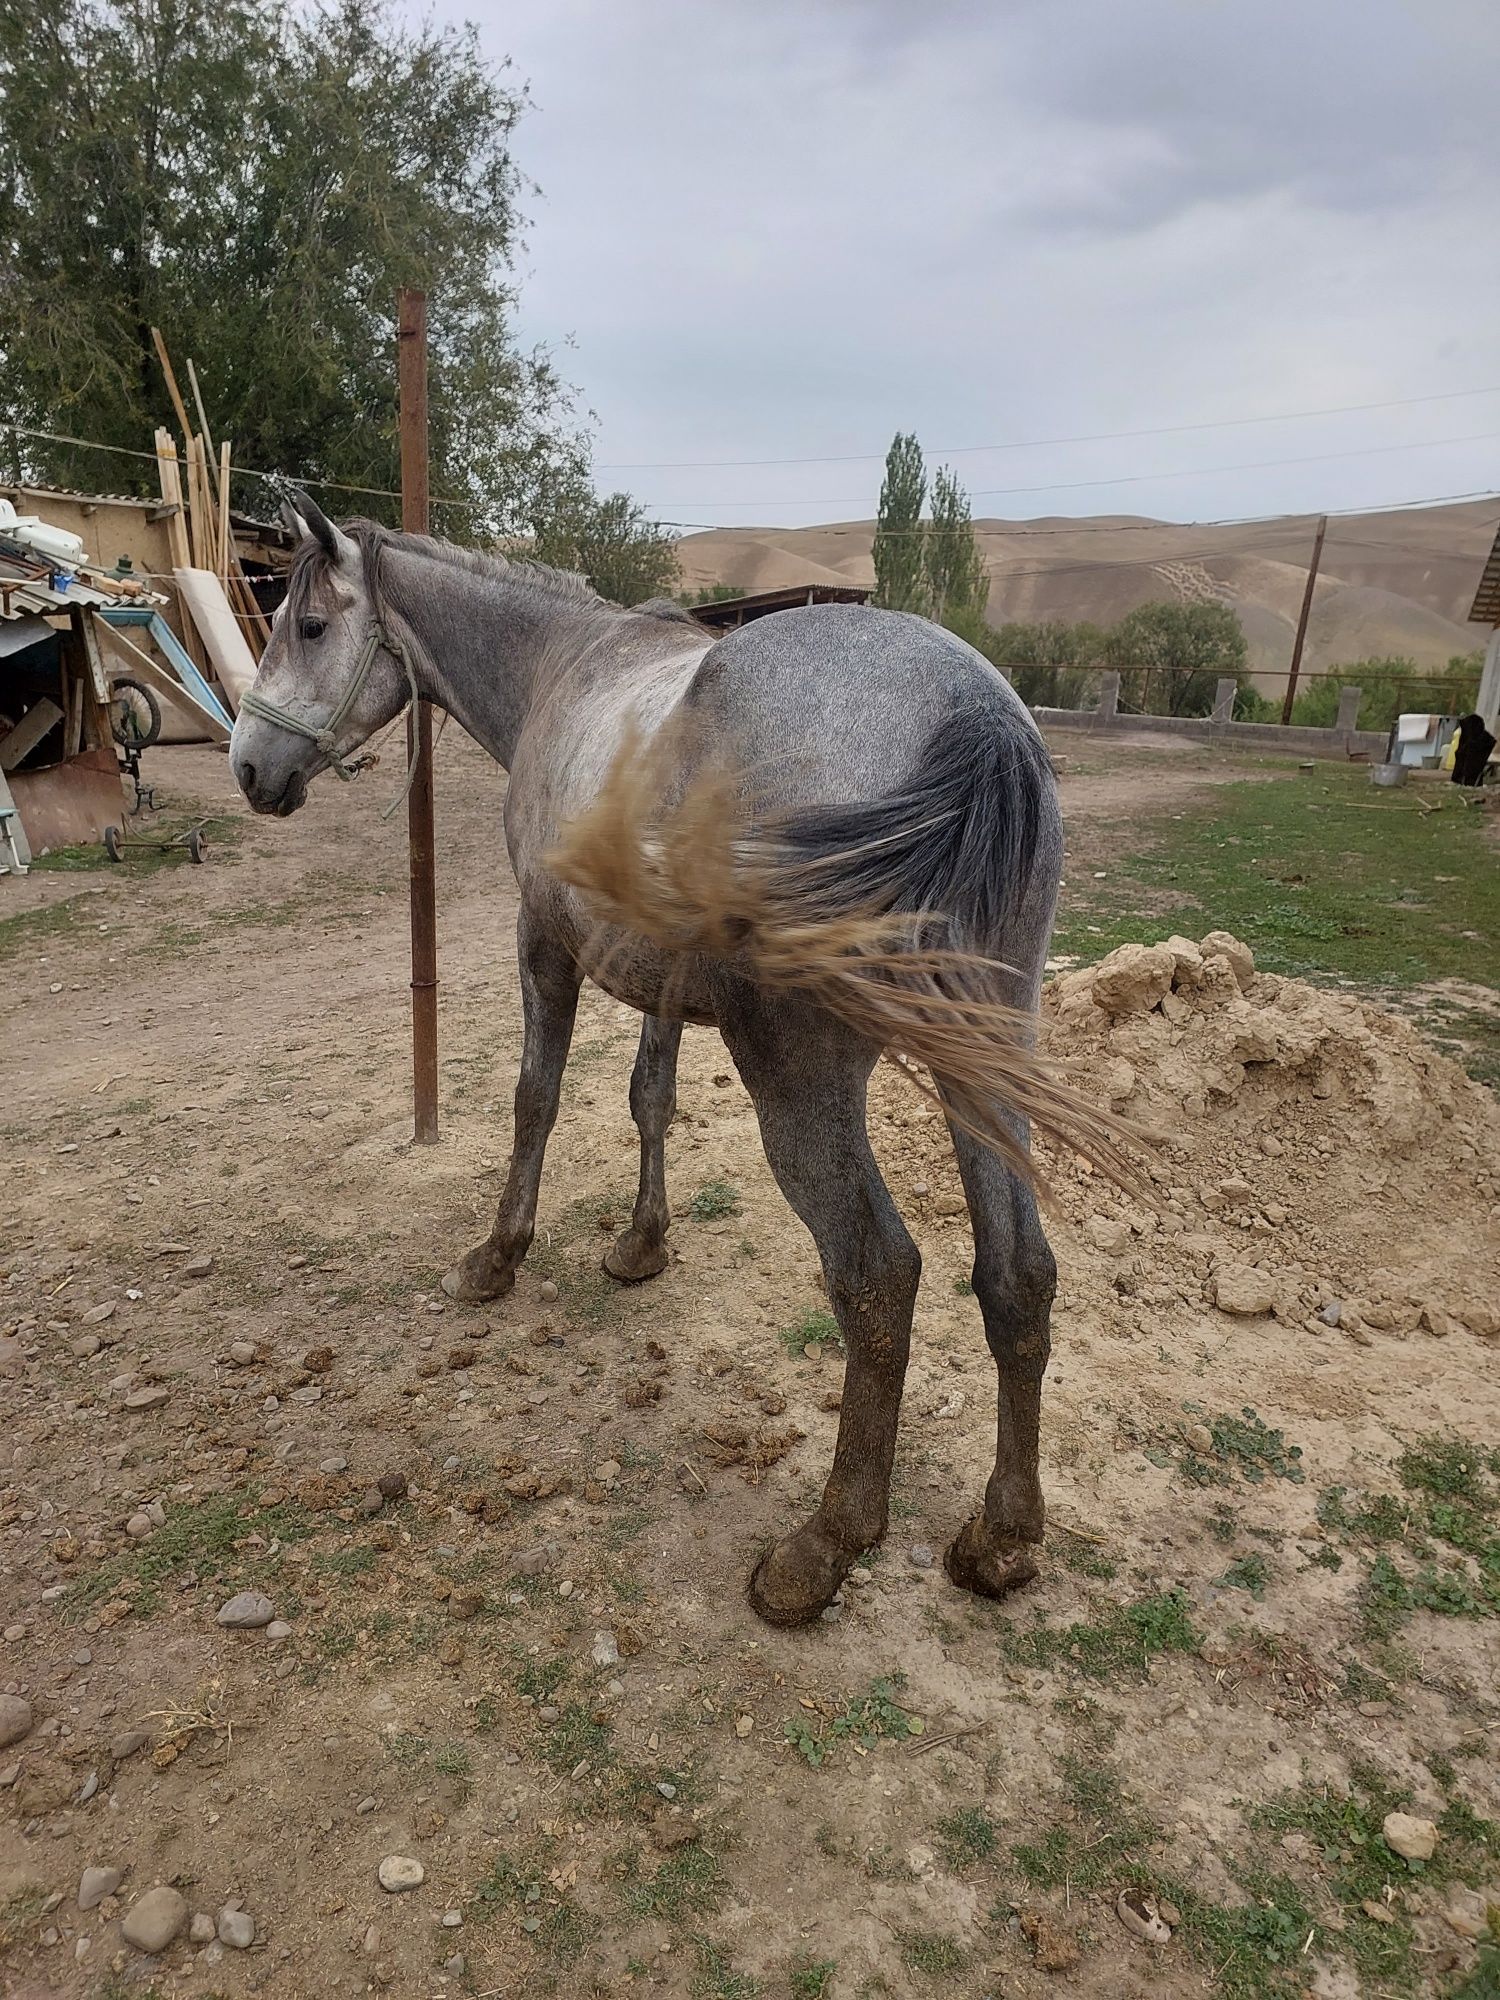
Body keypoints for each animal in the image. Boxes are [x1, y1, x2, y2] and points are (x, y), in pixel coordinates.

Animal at [232, 496, 1104, 1624]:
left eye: (306, 625)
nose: (249, 766)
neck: (563, 667)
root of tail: (972, 714)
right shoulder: (659, 983)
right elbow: (651, 1098)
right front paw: (643, 1243)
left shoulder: (545, 941)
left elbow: (537, 1096)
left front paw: (498, 1255)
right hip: (988, 1052)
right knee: (1018, 1274)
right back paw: (1001, 1537)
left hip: (802, 1076)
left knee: (877, 1274)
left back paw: (826, 1542)